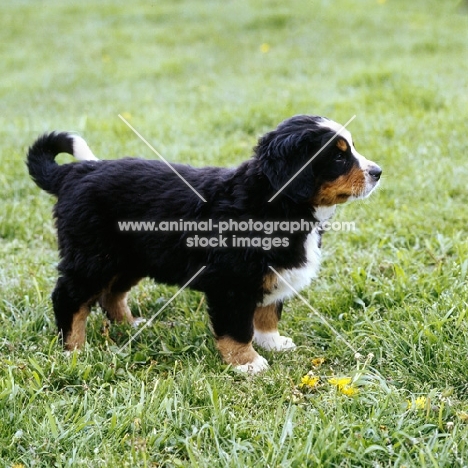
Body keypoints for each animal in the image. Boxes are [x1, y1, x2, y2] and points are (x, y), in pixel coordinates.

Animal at [26, 116, 380, 372]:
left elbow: (267, 313)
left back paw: (131, 325)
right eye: (338, 157)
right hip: (92, 256)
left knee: (111, 293)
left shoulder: (273, 273)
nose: (378, 171)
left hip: (129, 259)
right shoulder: (232, 283)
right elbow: (237, 328)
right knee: (69, 298)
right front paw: (247, 363)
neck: (275, 203)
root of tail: (73, 172)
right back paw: (74, 349)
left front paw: (272, 342)